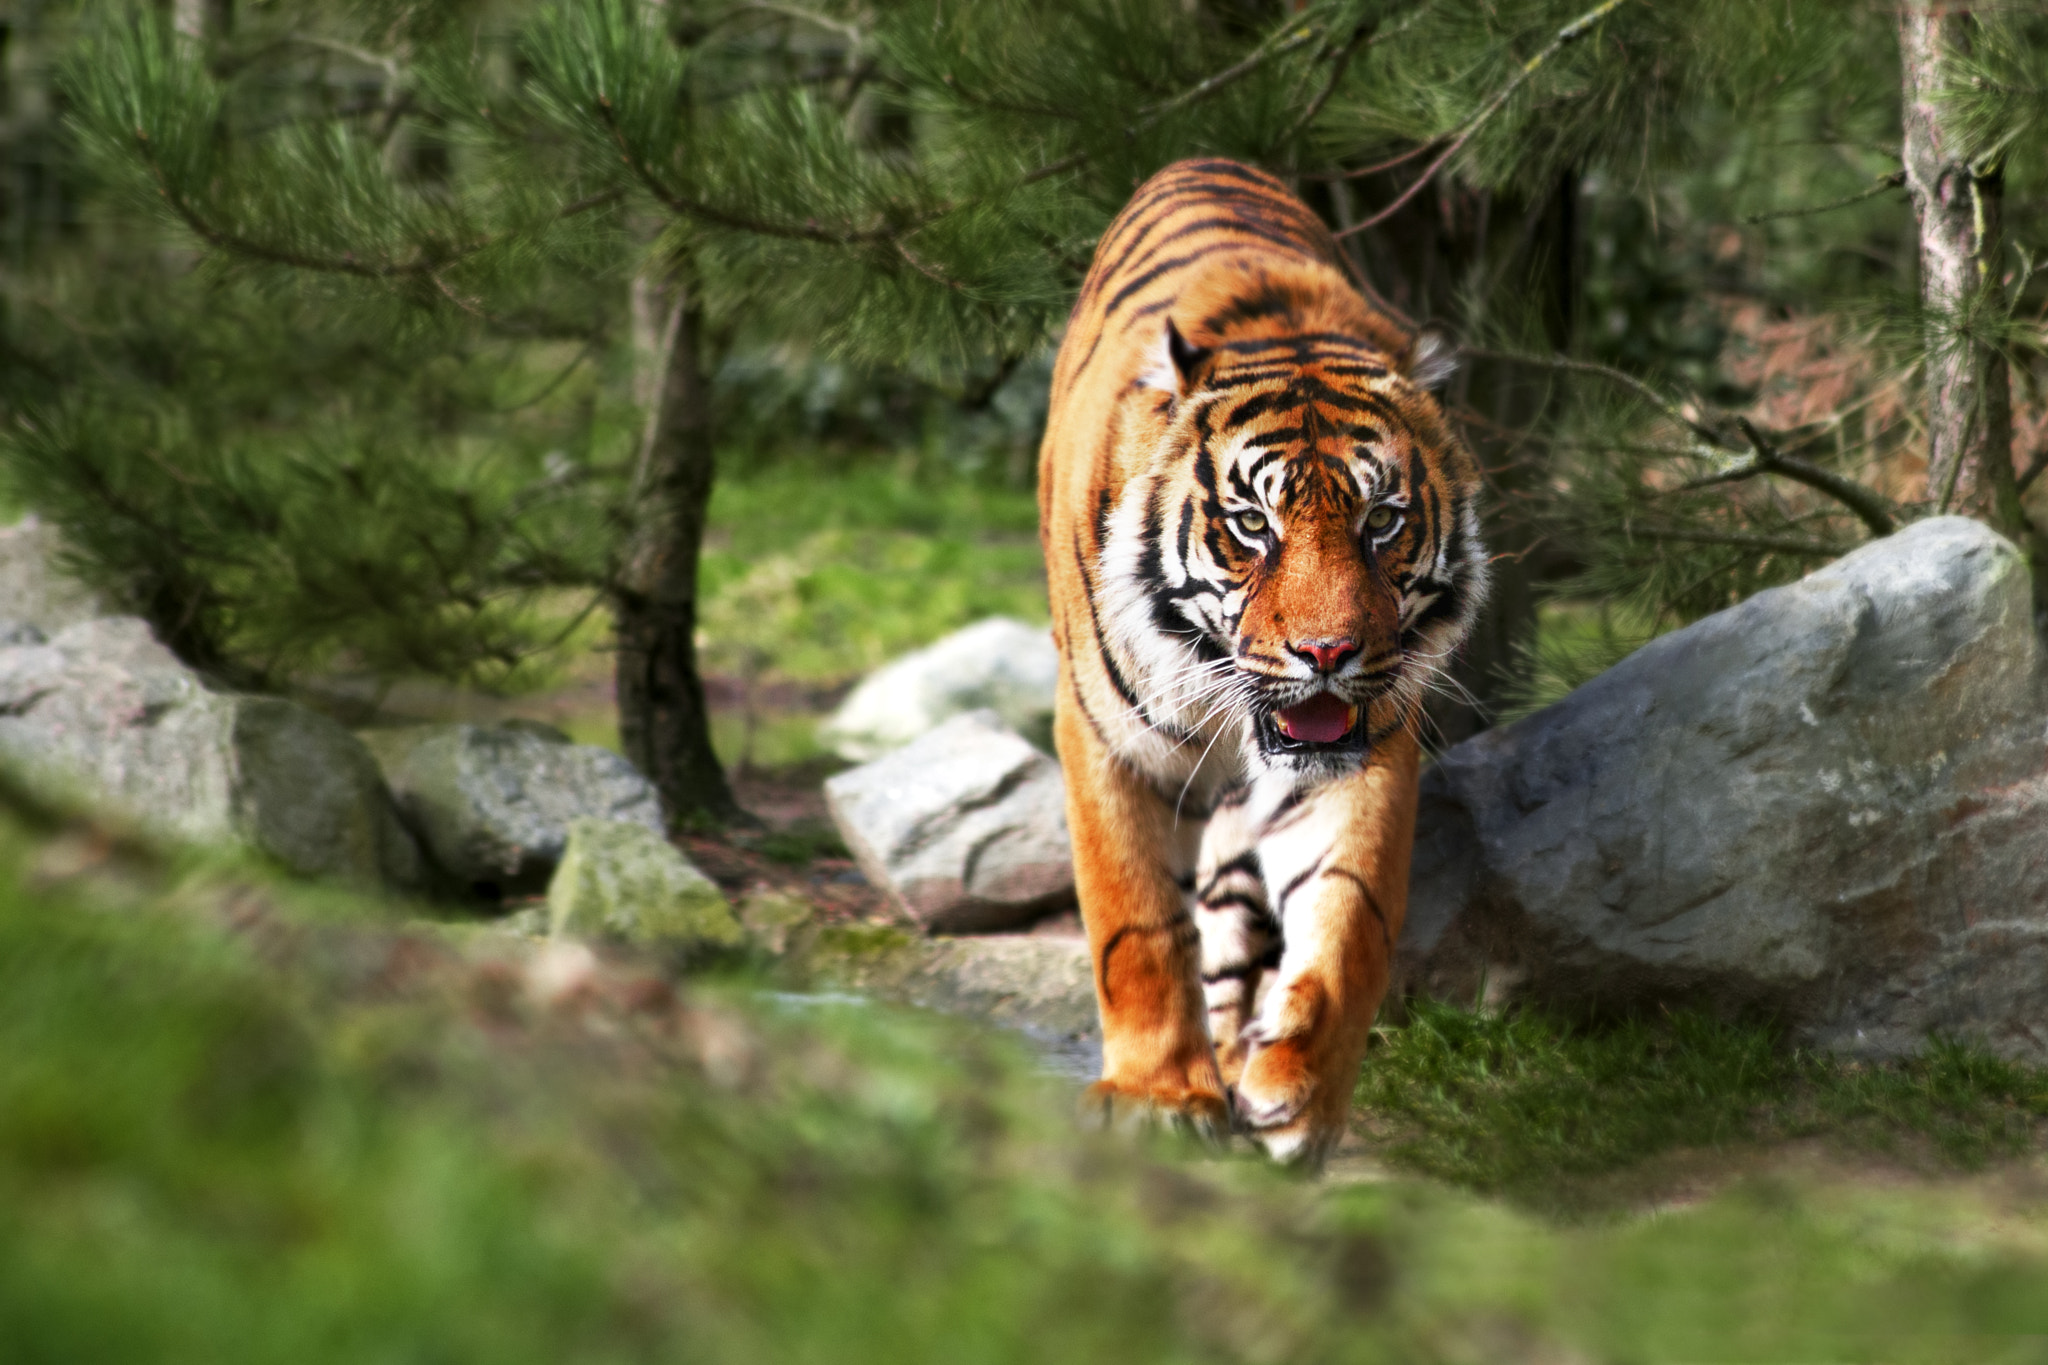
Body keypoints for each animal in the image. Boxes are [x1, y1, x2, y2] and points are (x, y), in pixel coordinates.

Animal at [1038, 158, 1488, 1166]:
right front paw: (1160, 1096)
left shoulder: (1370, 743)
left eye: (1383, 521)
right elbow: (1136, 923)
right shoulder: (1104, 738)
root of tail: (1199, 159)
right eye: (1253, 525)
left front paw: (1297, 1097)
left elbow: (1351, 921)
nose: (1327, 651)